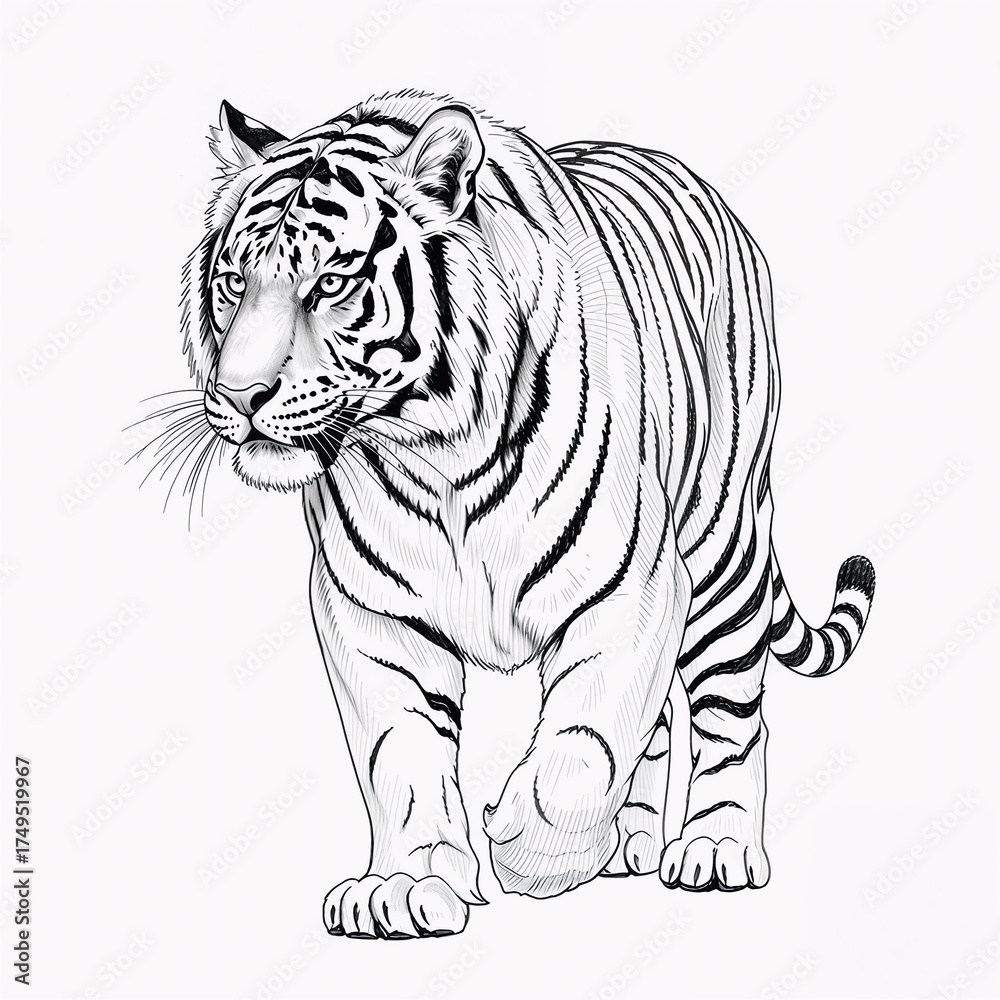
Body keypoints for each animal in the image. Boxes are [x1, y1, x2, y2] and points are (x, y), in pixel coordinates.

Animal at [172, 89, 875, 939]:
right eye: (233, 280)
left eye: (333, 283)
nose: (238, 396)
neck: (434, 456)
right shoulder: (371, 614)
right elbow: (401, 755)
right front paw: (405, 886)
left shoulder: (632, 588)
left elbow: (587, 741)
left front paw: (535, 855)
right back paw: (630, 843)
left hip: (721, 542)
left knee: (732, 712)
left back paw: (715, 849)